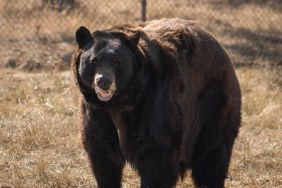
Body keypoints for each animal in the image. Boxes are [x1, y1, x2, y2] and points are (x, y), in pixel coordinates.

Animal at [71, 18, 241, 188]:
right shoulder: (97, 113)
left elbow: (157, 155)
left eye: (116, 62)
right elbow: (103, 156)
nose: (103, 81)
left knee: (212, 155)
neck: (118, 104)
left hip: (214, 101)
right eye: (94, 60)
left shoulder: (154, 104)